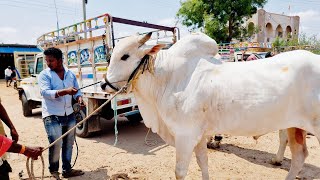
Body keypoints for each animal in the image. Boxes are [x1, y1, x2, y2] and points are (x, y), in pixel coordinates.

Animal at [100, 32, 320, 180]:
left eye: (125, 56)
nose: (103, 85)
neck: (169, 78)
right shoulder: (198, 135)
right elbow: (203, 163)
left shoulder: (185, 135)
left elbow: (180, 171)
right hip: (294, 126)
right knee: (299, 157)